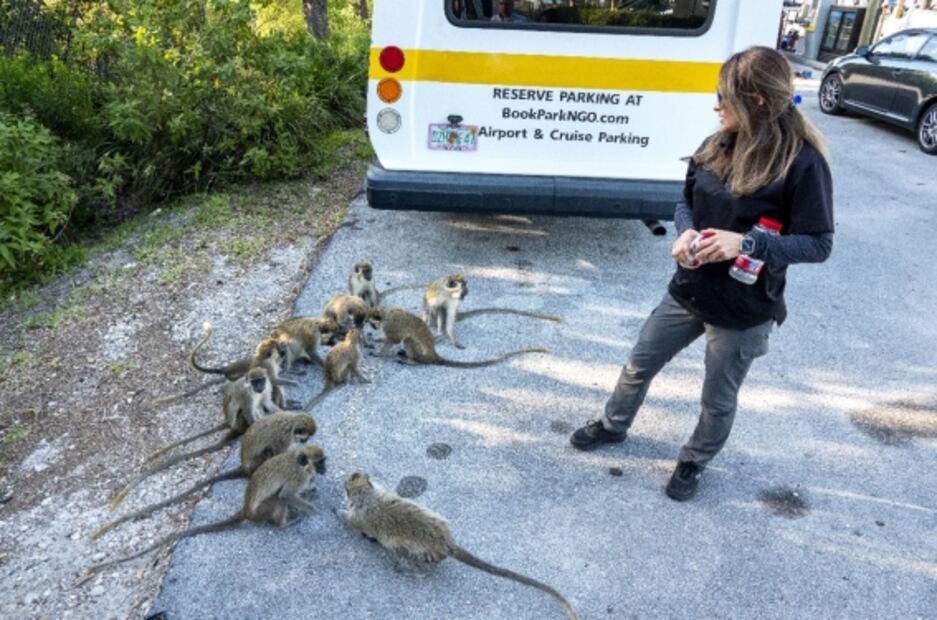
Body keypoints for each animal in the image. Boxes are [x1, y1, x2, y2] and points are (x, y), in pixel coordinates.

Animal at [84, 445, 326, 575]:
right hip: (262, 510)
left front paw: (311, 491)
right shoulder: (297, 476)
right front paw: (312, 508)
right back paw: (283, 523)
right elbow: (286, 495)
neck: (301, 462)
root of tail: (247, 511)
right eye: (320, 462)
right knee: (276, 499)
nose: (324, 469)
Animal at [90, 413, 318, 540]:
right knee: (269, 461)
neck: (291, 421)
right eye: (304, 436)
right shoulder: (283, 438)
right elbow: (281, 454)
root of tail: (245, 468)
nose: (306, 440)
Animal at [110, 367, 283, 511]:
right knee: (244, 412)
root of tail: (229, 423)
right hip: (239, 422)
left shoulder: (265, 389)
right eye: (255, 382)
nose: (259, 386)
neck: (255, 391)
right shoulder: (247, 396)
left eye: (261, 380)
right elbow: (249, 412)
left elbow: (267, 403)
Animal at [338, 472, 580, 620]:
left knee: (407, 555)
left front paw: (339, 512)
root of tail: (447, 543)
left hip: (422, 554)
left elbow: (351, 521)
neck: (368, 496)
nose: (344, 487)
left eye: (346, 487)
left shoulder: (360, 515)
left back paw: (411, 569)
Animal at [366, 307, 547, 368]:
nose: (372, 327)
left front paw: (379, 352)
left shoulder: (390, 324)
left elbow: (394, 339)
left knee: (408, 339)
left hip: (423, 355)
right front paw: (375, 341)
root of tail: (434, 354)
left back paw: (412, 361)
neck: (384, 313)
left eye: (372, 323)